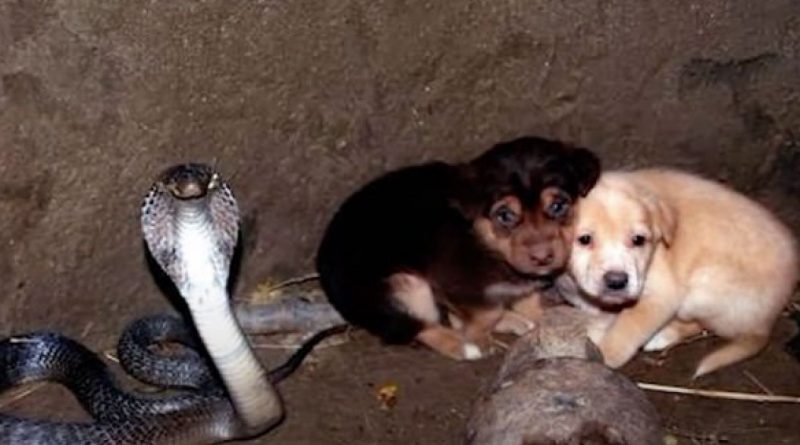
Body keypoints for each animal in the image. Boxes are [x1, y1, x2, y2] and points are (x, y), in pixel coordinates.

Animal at [314, 137, 600, 360]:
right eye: (505, 215)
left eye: (558, 206)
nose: (542, 258)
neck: (485, 243)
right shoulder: (454, 284)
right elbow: (487, 313)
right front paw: (478, 340)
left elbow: (527, 300)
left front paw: (542, 318)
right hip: (405, 287)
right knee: (418, 326)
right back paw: (462, 347)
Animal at [564, 168, 796, 376]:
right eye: (584, 239)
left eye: (639, 240)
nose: (617, 282)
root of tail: (765, 324)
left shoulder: (661, 294)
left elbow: (625, 331)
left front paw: (602, 355)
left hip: (701, 289)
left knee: (700, 325)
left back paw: (662, 336)